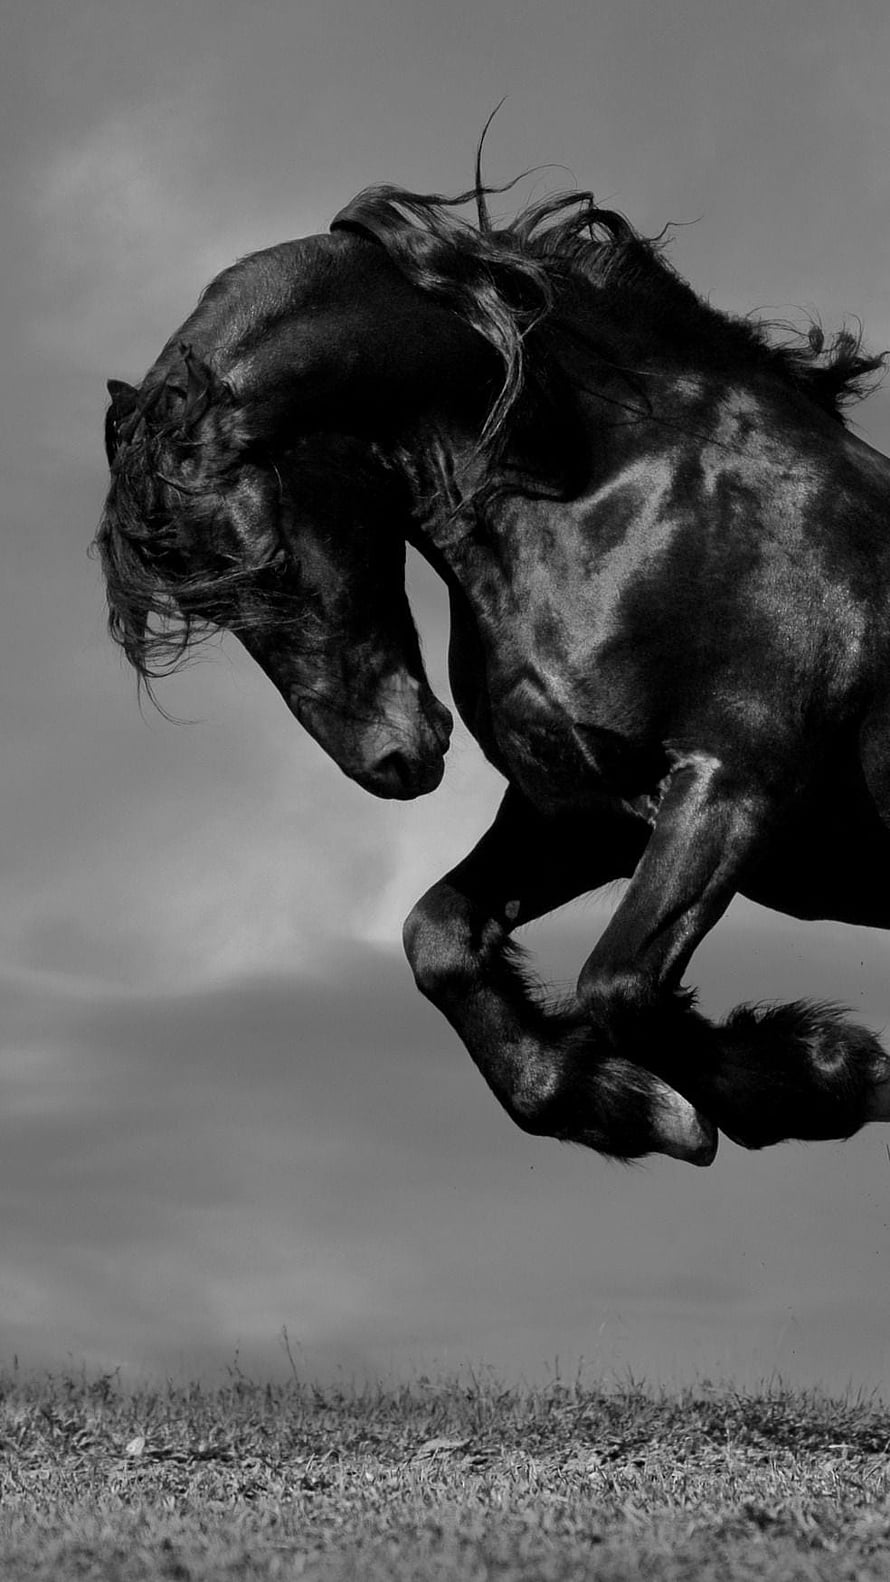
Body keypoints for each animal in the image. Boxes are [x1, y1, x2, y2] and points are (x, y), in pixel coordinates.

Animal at [96, 175, 890, 1169]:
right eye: (205, 606)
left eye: (269, 568)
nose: (392, 760)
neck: (632, 496)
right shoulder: (583, 811)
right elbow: (439, 938)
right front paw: (630, 1103)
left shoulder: (736, 781)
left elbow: (620, 984)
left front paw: (830, 1074)